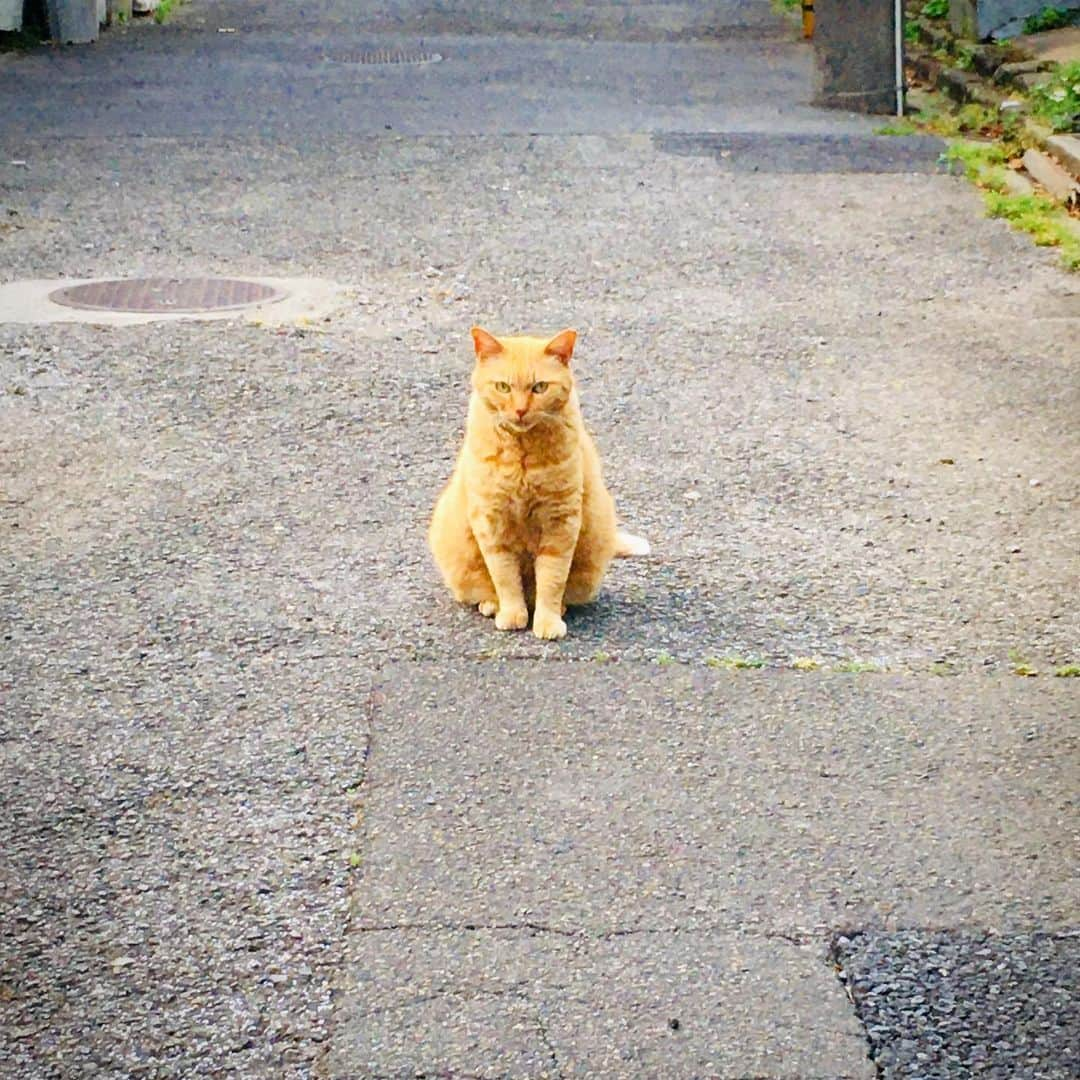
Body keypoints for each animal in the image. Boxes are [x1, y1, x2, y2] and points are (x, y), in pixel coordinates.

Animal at [429, 324, 648, 635]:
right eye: (503, 387)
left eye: (539, 387)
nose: (520, 410)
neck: (522, 455)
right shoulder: (491, 521)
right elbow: (505, 577)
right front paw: (512, 614)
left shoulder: (560, 521)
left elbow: (552, 579)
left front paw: (548, 621)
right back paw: (492, 604)